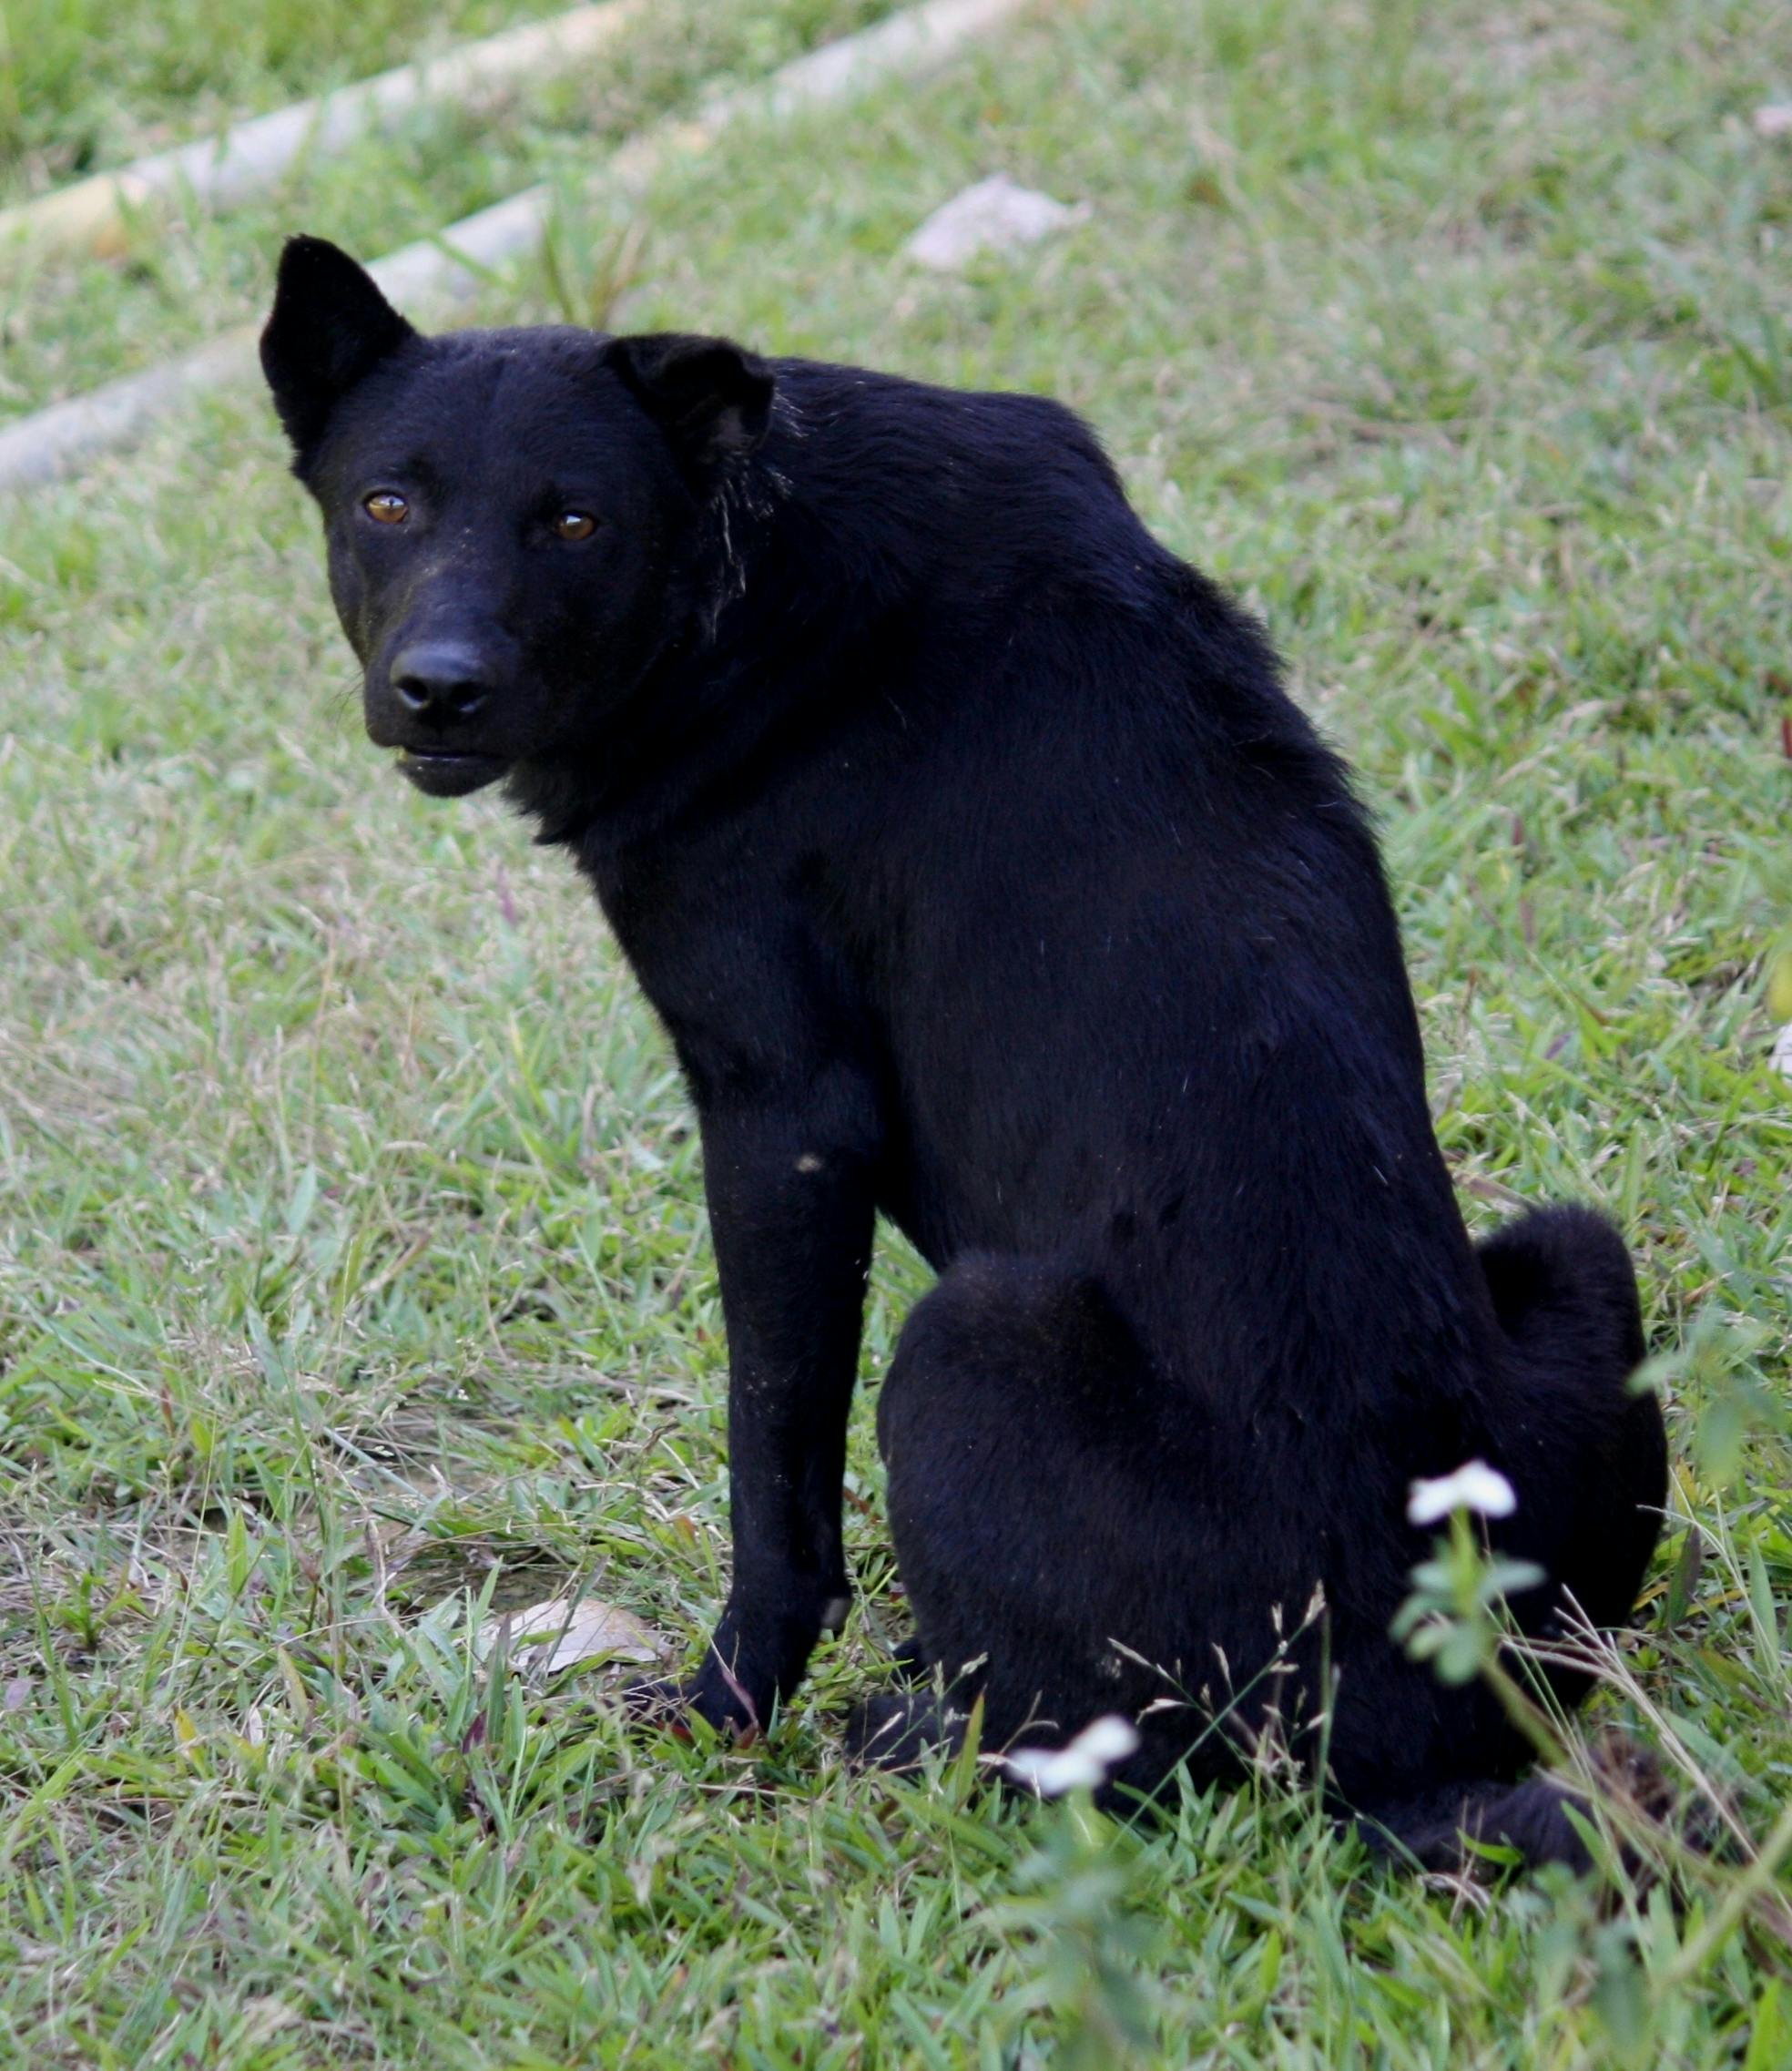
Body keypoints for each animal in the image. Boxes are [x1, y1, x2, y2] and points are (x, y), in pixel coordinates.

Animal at [261, 235, 1665, 1872]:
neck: (750, 562)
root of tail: (1426, 1737)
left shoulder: (780, 1114)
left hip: (967, 1342)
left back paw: (922, 1733)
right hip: (1573, 1256)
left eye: (573, 518)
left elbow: (773, 1469)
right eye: (386, 504)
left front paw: (729, 1702)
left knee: (1115, 1761)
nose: (438, 685)